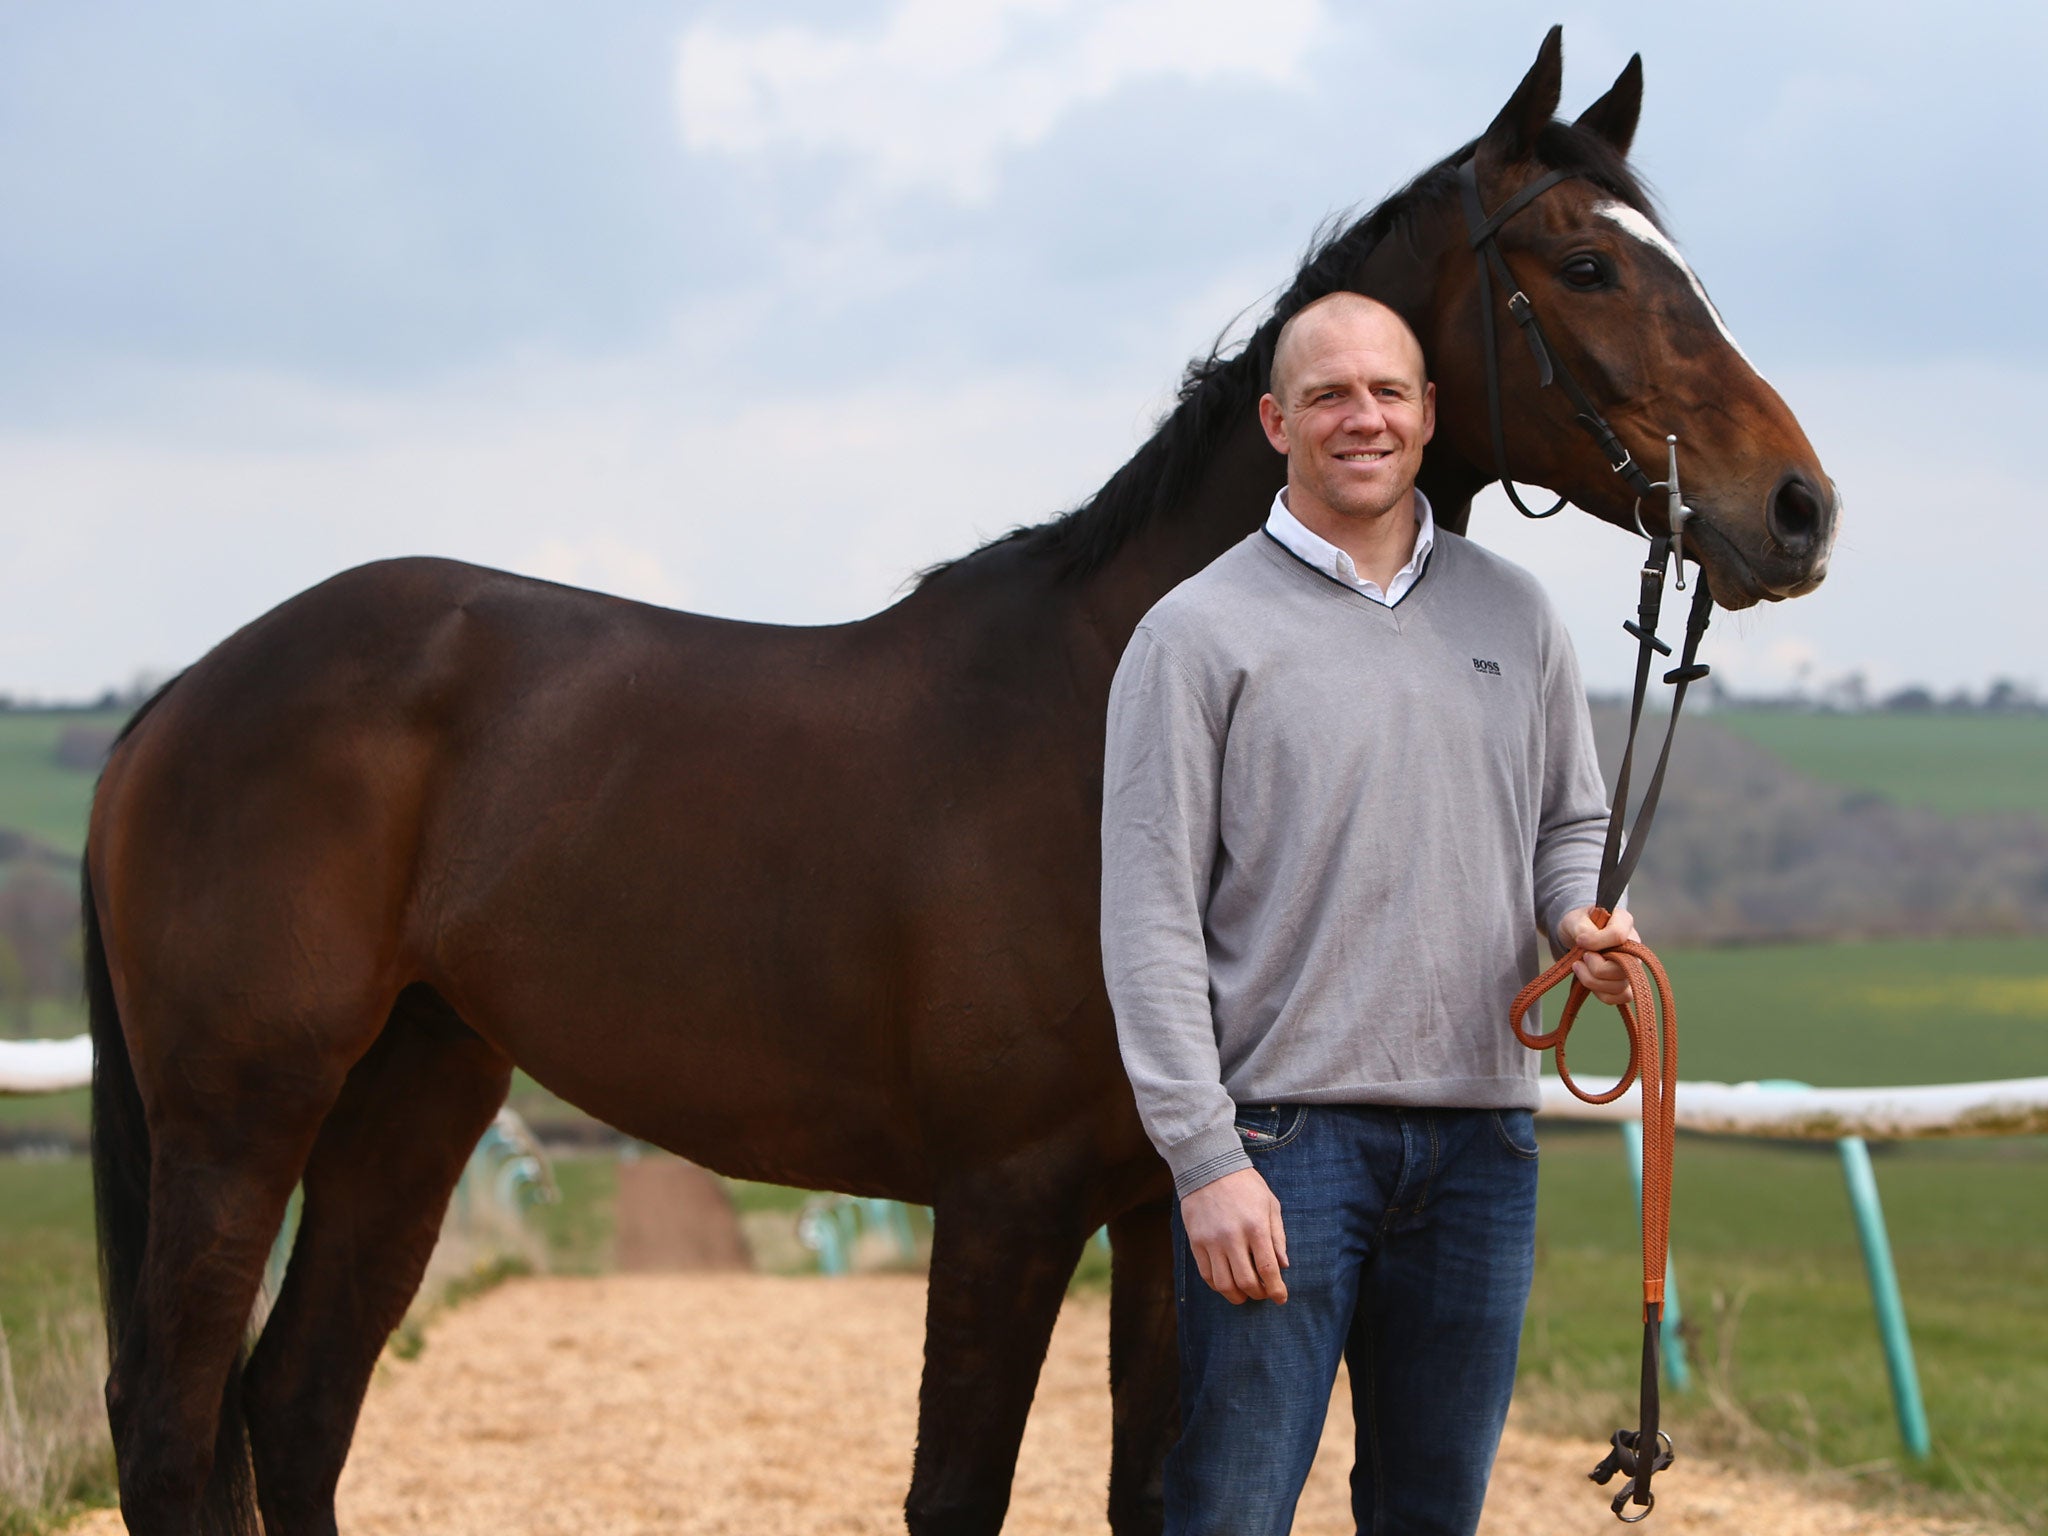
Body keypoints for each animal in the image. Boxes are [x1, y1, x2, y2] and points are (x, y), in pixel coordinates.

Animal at [83, 27, 1843, 1536]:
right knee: (175, 1426)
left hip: (416, 1091)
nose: (1798, 507)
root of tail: (181, 698)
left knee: (297, 1407)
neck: (1101, 709)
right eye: (1588, 263)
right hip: (241, 1115)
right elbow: (956, 1492)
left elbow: (1150, 1491)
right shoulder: (1004, 1207)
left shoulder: (1169, 1215)